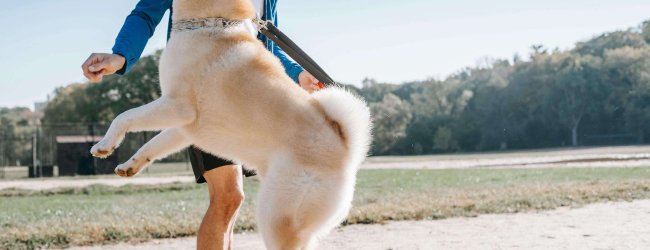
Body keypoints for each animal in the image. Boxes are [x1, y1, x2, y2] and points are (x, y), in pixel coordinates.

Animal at [90, 0, 370, 248]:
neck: (211, 23)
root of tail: (346, 149)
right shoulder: (184, 127)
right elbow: (152, 145)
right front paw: (129, 165)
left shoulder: (177, 106)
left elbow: (125, 116)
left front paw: (105, 144)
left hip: (275, 216)